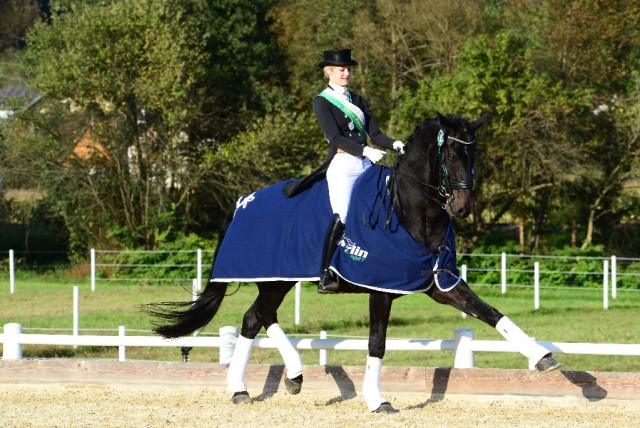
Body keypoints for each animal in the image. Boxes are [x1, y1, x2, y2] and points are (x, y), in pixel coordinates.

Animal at [144, 113, 560, 412]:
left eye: (474, 156)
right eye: (451, 155)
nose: (462, 207)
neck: (409, 211)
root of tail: (242, 202)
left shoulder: (441, 283)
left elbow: (491, 313)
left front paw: (544, 358)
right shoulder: (381, 289)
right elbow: (377, 343)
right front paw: (378, 400)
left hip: (279, 280)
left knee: (258, 317)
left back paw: (290, 377)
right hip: (276, 279)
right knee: (254, 318)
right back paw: (243, 388)